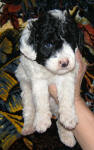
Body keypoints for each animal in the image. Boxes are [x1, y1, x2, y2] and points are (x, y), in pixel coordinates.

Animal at [15, 9, 83, 148]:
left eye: (70, 41)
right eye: (48, 44)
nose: (65, 63)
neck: (51, 73)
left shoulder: (68, 75)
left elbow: (67, 95)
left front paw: (69, 117)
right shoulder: (37, 78)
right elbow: (40, 98)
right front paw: (42, 121)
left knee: (58, 121)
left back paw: (67, 137)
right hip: (26, 89)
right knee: (29, 108)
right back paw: (29, 127)